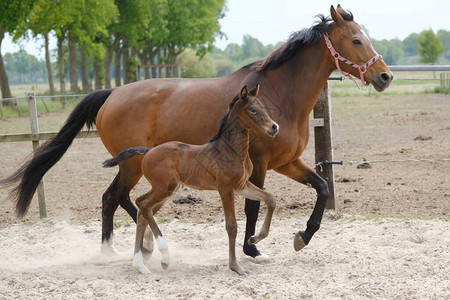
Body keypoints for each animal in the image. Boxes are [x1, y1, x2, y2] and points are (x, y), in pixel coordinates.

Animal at [103, 85, 278, 276]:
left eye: (263, 107)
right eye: (252, 110)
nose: (274, 127)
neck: (232, 150)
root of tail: (149, 151)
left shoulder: (242, 185)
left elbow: (270, 199)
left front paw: (254, 239)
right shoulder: (225, 189)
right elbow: (231, 226)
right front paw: (236, 267)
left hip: (165, 190)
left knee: (143, 211)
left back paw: (141, 266)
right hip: (165, 187)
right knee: (142, 204)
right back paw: (164, 257)